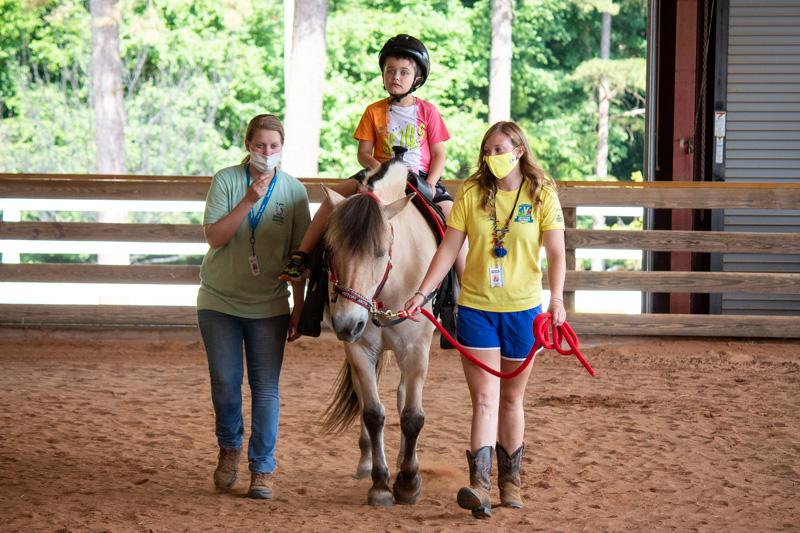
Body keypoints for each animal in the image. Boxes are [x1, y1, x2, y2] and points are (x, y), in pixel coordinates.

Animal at [318, 156, 440, 504]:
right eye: (331, 249)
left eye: (381, 251)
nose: (347, 324)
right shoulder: (359, 349)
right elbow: (372, 413)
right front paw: (381, 483)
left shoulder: (416, 350)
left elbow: (412, 416)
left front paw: (408, 482)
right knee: (365, 399)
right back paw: (367, 461)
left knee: (401, 396)